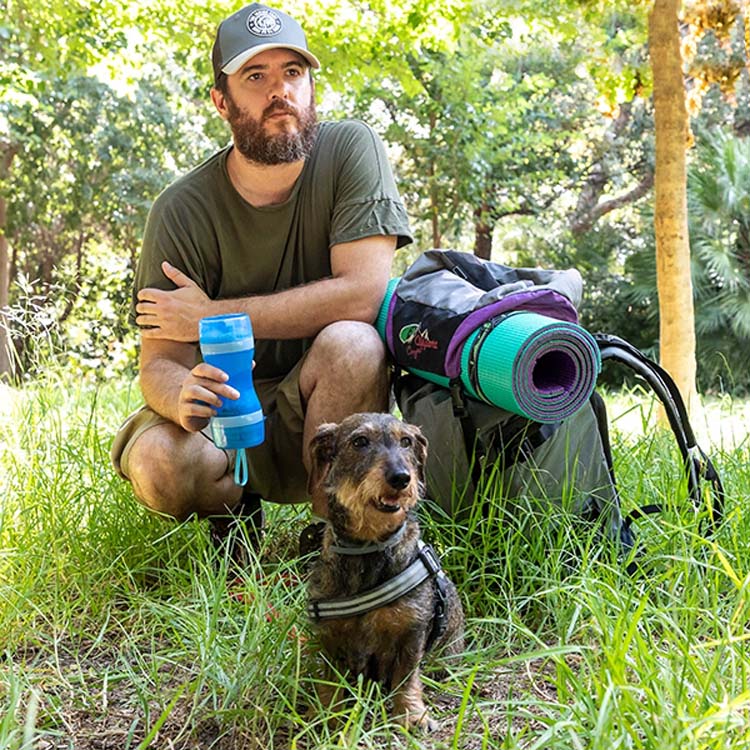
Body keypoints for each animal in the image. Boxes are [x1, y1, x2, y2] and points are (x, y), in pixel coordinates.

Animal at [306, 414, 464, 732]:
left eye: (406, 441)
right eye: (359, 442)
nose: (401, 478)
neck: (369, 548)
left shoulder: (412, 632)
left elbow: (406, 677)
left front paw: (412, 714)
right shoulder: (329, 636)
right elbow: (329, 679)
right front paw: (328, 713)